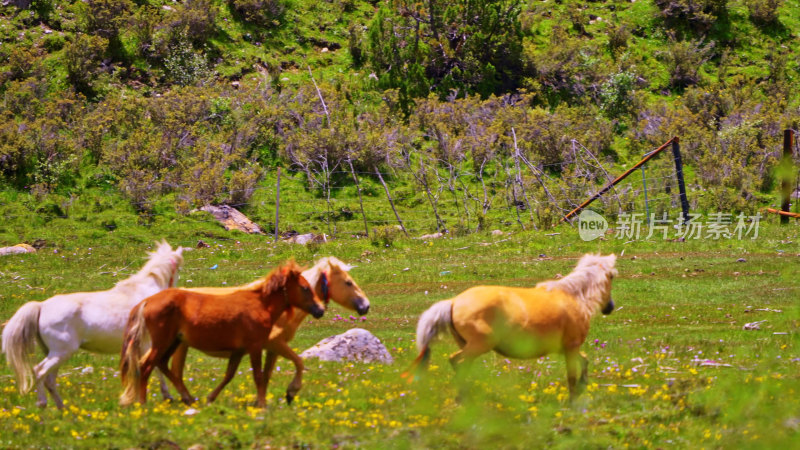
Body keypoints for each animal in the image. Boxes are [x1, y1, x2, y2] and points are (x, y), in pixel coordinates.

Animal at [2, 241, 186, 410]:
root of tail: (41, 306)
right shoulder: (149, 343)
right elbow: (155, 368)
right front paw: (167, 396)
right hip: (61, 352)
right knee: (39, 371)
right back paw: (43, 404)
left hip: (54, 353)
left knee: (49, 379)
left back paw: (62, 409)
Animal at [117, 260, 324, 408]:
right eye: (305, 288)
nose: (320, 310)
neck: (261, 306)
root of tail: (147, 301)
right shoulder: (255, 346)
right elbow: (258, 375)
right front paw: (268, 402)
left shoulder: (239, 351)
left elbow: (229, 375)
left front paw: (211, 398)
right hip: (162, 342)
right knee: (146, 366)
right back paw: (143, 403)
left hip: (173, 342)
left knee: (162, 364)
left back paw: (189, 398)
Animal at [406, 253, 620, 400]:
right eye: (611, 277)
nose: (610, 307)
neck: (574, 297)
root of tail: (453, 302)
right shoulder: (571, 346)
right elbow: (572, 377)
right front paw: (573, 401)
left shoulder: (566, 348)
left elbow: (584, 361)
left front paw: (583, 386)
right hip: (479, 345)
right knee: (457, 361)